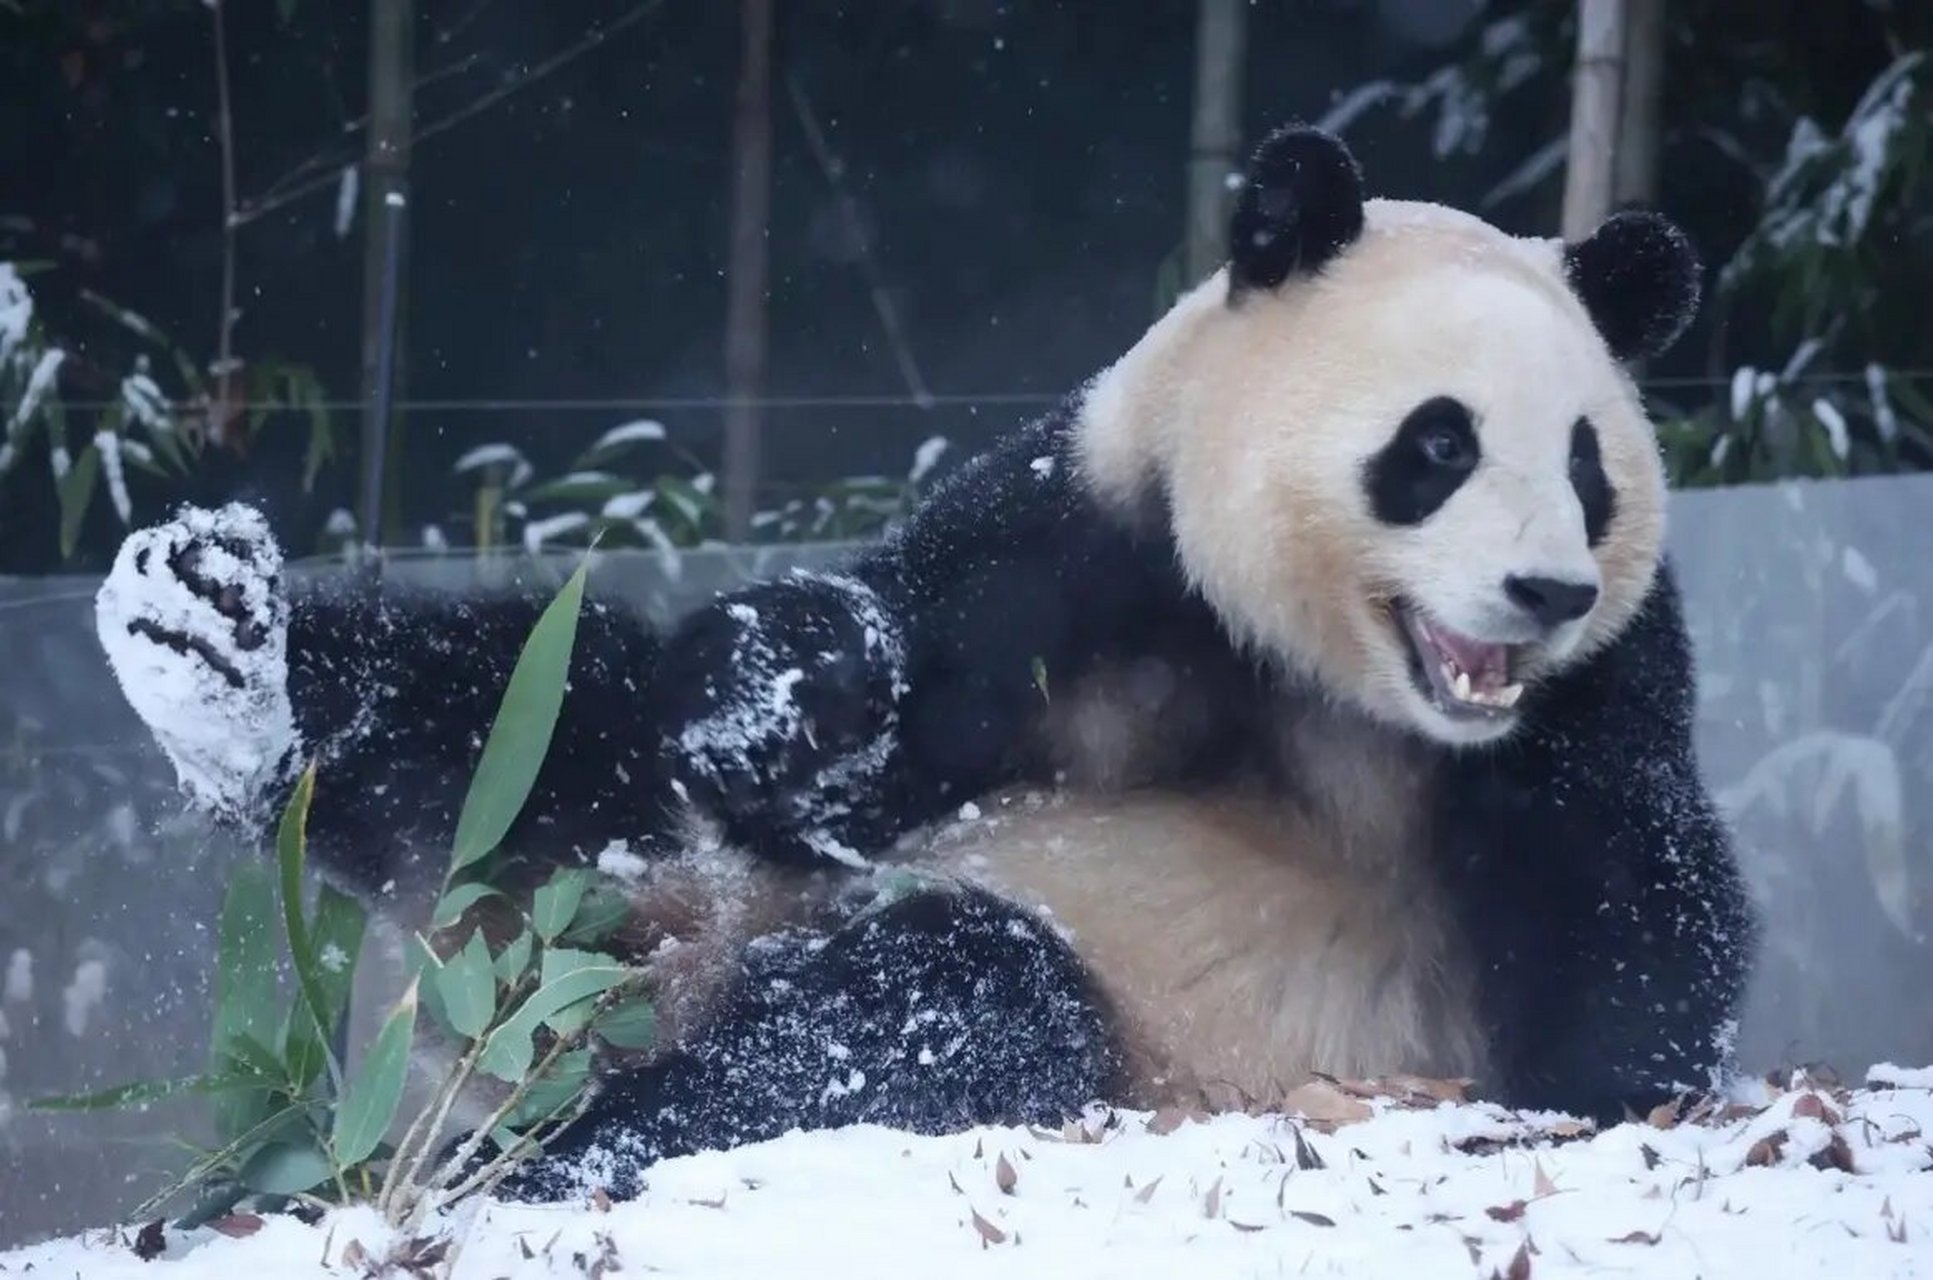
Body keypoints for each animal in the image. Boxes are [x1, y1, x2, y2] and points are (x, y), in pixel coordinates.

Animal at [90, 125, 1755, 1206]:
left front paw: (1602, 1106)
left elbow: (1644, 893)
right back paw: (212, 648)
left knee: (936, 1006)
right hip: (654, 873)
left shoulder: (1604, 688)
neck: (1319, 669)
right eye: (1438, 444)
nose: (1541, 589)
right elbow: (875, 695)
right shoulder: (1093, 543)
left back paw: (572, 1146)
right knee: (536, 724)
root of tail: (609, 985)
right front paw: (781, 699)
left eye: (1589, 466)